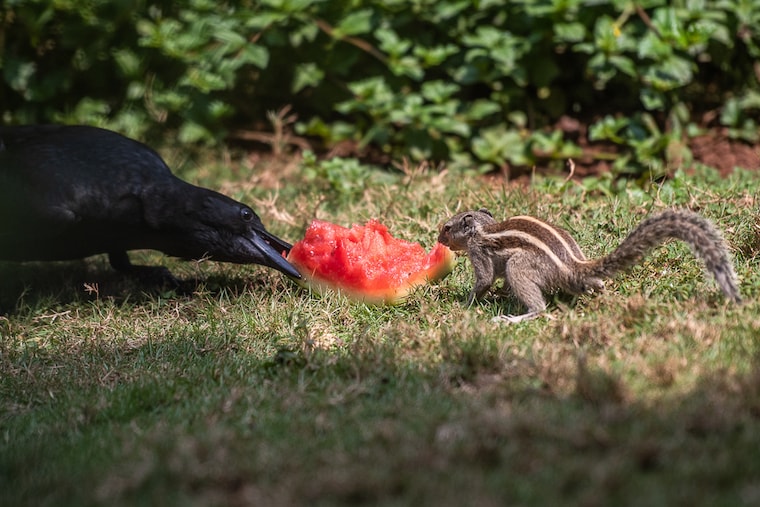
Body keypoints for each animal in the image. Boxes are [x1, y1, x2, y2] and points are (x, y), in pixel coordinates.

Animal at [438, 208, 741, 323]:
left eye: (447, 228)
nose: (439, 240)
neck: (484, 229)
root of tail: (574, 265)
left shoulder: (479, 253)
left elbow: (484, 280)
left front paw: (465, 304)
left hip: (521, 267)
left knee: (539, 307)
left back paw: (515, 318)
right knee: (594, 284)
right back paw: (601, 290)